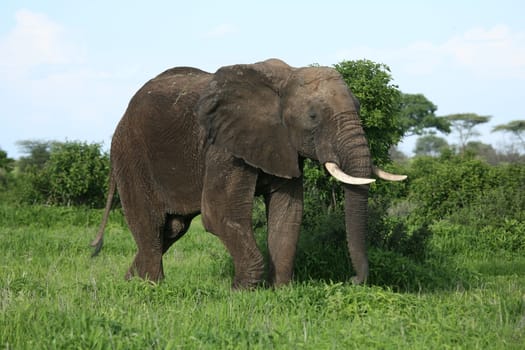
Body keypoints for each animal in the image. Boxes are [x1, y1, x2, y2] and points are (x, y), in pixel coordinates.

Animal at [92, 58, 406, 288]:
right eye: (313, 117)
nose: (351, 280)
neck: (285, 79)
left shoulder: (282, 143)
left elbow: (288, 214)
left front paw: (281, 291)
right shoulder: (224, 148)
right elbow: (219, 213)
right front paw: (241, 293)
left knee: (173, 228)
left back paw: (129, 283)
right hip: (131, 155)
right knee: (151, 223)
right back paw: (151, 288)